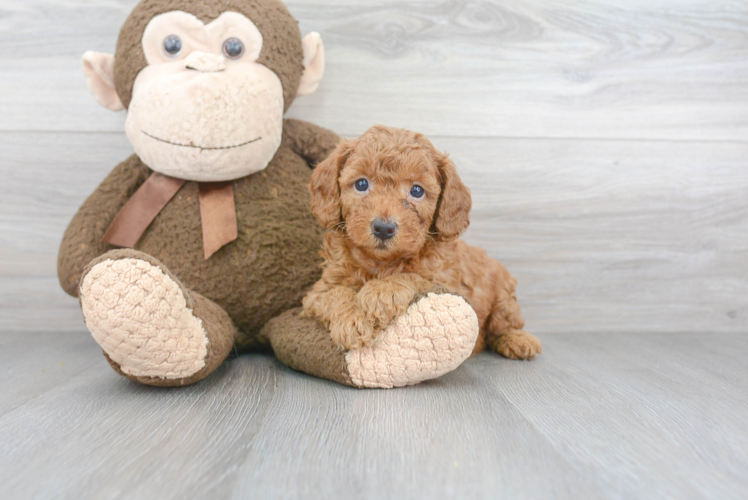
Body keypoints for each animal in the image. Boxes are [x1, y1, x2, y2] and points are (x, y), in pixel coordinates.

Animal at [300, 125, 540, 360]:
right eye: (361, 184)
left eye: (416, 190)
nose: (384, 228)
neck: (381, 263)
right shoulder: (317, 294)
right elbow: (334, 294)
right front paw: (351, 320)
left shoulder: (446, 283)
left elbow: (413, 277)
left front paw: (381, 292)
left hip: (503, 294)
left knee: (504, 324)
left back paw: (518, 340)